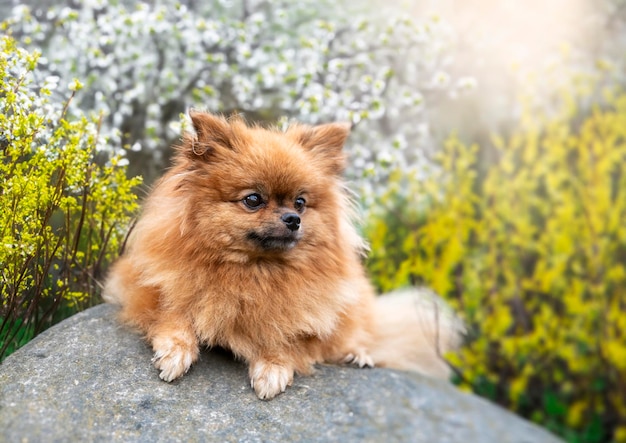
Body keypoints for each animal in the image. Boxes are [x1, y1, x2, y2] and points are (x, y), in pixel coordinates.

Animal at [103, 110, 464, 398]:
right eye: (253, 200)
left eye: (300, 202)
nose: (293, 218)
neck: (252, 271)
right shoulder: (147, 287)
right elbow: (172, 315)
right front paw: (176, 352)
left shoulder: (304, 317)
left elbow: (285, 337)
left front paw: (273, 368)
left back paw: (357, 354)